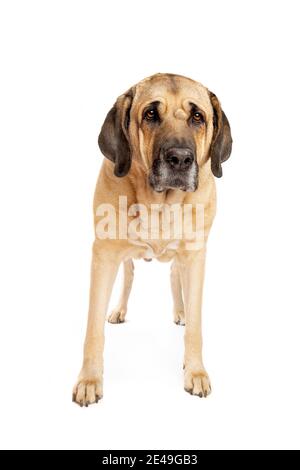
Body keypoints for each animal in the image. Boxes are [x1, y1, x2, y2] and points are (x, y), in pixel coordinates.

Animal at [72, 73, 232, 408]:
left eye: (198, 116)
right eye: (150, 114)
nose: (180, 159)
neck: (160, 204)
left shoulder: (195, 256)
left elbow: (196, 323)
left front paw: (195, 371)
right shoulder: (103, 254)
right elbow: (93, 327)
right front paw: (89, 379)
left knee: (173, 275)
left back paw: (180, 312)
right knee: (129, 274)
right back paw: (119, 310)